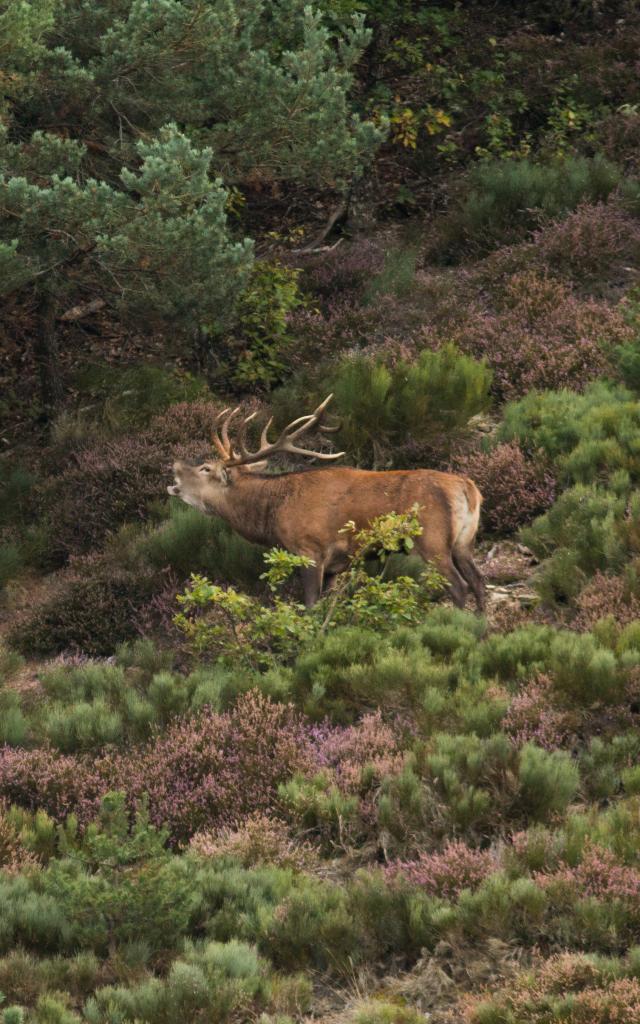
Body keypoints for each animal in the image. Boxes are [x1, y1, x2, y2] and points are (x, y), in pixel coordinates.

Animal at [165, 395, 483, 610]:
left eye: (205, 468)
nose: (174, 465)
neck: (271, 514)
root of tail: (468, 489)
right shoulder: (334, 565)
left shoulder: (310, 550)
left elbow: (310, 605)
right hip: (464, 541)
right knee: (478, 582)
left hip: (432, 540)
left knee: (459, 586)